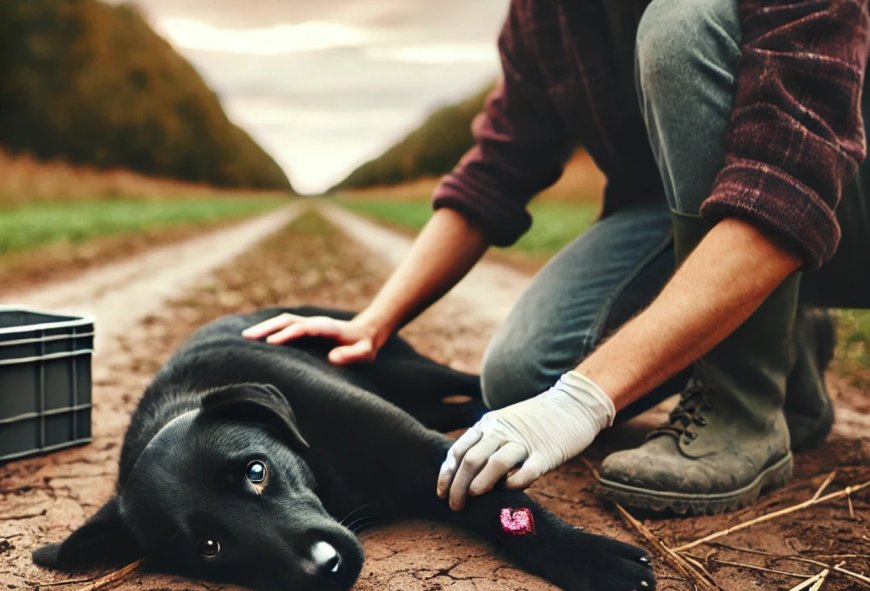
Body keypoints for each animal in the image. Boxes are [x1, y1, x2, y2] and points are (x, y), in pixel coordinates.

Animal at [37, 308, 656, 588]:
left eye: (256, 471)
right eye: (209, 547)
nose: (328, 567)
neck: (325, 476)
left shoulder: (430, 455)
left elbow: (504, 507)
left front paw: (591, 558)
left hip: (406, 370)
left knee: (472, 385)